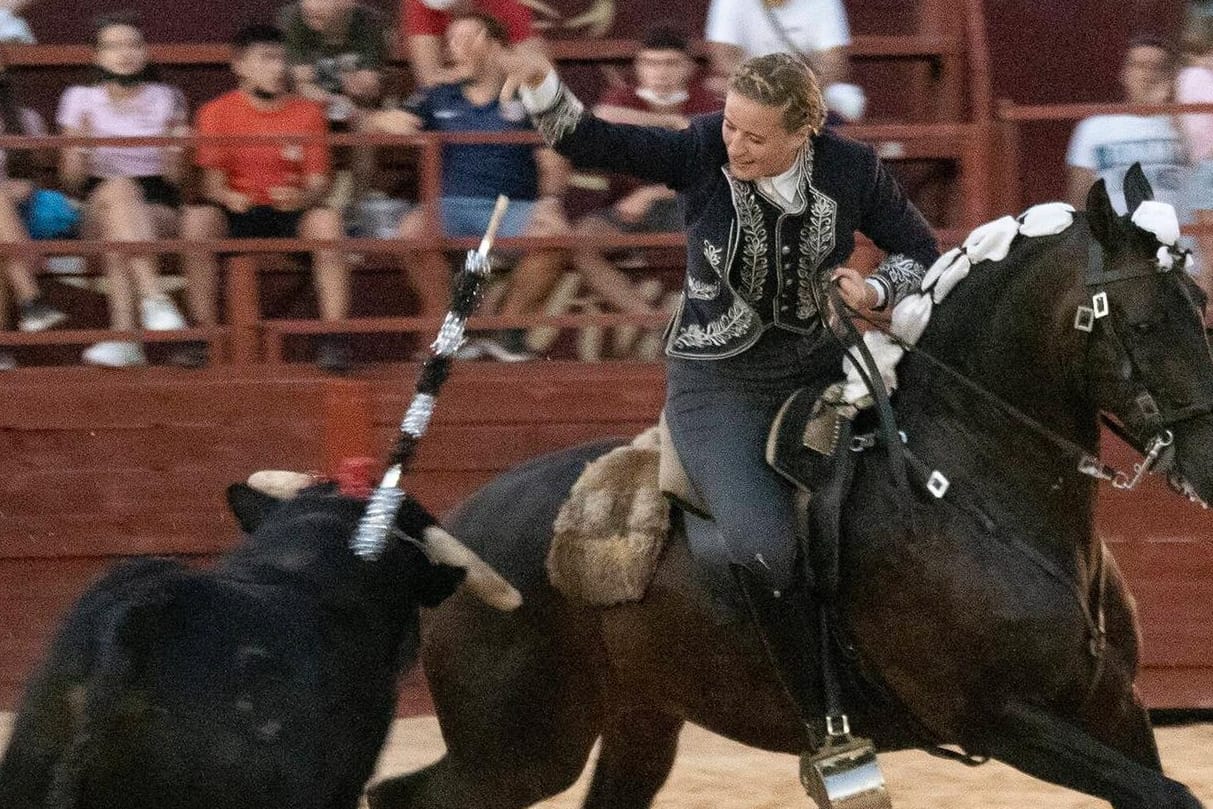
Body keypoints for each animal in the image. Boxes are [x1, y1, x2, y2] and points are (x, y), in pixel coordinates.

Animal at [368, 175, 1213, 809]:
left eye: (1198, 304)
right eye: (1143, 322)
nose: (1209, 462)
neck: (969, 483)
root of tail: (455, 524)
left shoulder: (1111, 704)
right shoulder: (999, 716)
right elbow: (1167, 793)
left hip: (635, 723)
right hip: (518, 748)